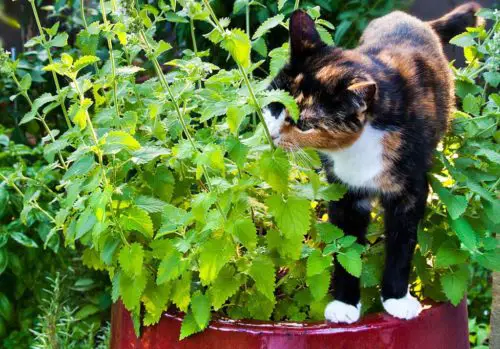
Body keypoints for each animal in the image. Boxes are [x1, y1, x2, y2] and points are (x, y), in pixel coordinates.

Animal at [264, 2, 482, 322]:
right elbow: (346, 246)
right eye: (275, 104)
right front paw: (344, 304)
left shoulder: (412, 190)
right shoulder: (344, 191)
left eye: (304, 125)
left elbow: (402, 243)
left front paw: (397, 299)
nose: (272, 134)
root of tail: (412, 19)